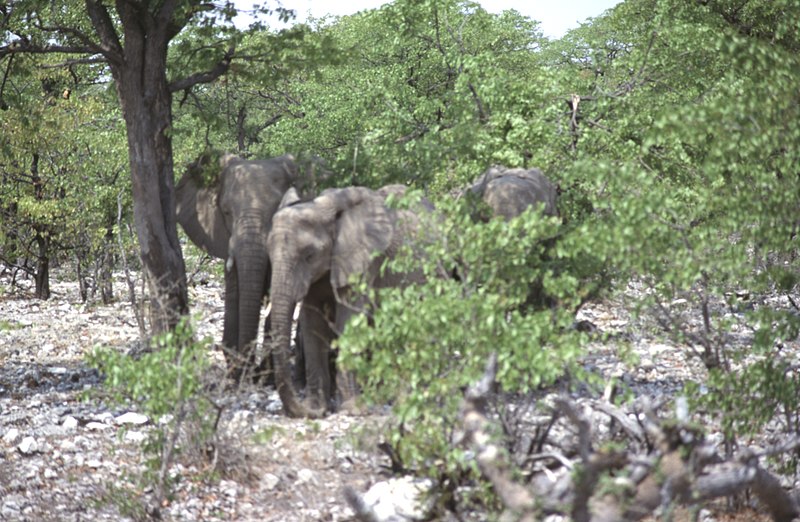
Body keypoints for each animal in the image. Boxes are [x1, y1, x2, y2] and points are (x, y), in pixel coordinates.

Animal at [177, 152, 304, 380]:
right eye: (227, 212)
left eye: (277, 209)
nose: (250, 370)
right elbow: (235, 290)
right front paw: (236, 372)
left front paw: (263, 375)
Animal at [268, 185, 432, 416]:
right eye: (268, 253)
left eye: (309, 255)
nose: (306, 411)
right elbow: (312, 324)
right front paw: (316, 407)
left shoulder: (363, 262)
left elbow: (347, 320)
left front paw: (351, 409)